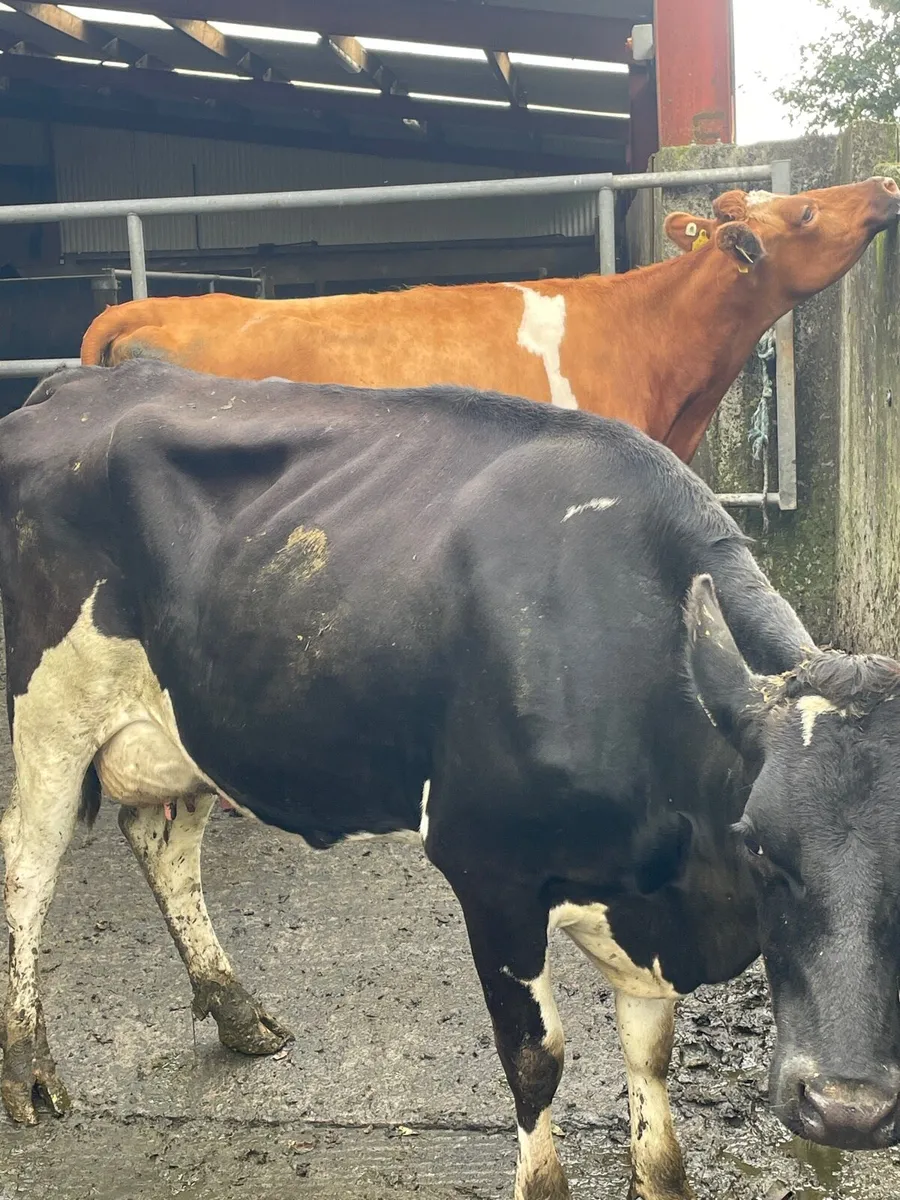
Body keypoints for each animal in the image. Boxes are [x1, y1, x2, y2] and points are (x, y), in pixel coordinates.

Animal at [3, 361, 900, 1200]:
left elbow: (650, 1054)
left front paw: (660, 1175)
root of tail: (81, 382)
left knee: (161, 842)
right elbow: (536, 1057)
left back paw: (235, 1011)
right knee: (27, 865)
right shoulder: (489, 870)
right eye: (758, 844)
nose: (847, 1108)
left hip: (194, 719)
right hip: (49, 706)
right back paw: (29, 1071)